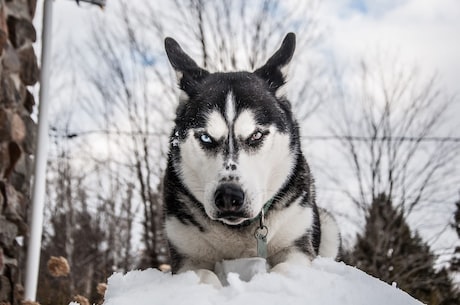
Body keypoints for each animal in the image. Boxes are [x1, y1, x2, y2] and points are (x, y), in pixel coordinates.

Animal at [164, 33, 340, 284]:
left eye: (256, 135)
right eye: (206, 137)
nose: (228, 197)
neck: (237, 231)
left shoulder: (296, 247)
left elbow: (285, 270)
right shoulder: (188, 256)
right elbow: (203, 275)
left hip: (328, 224)